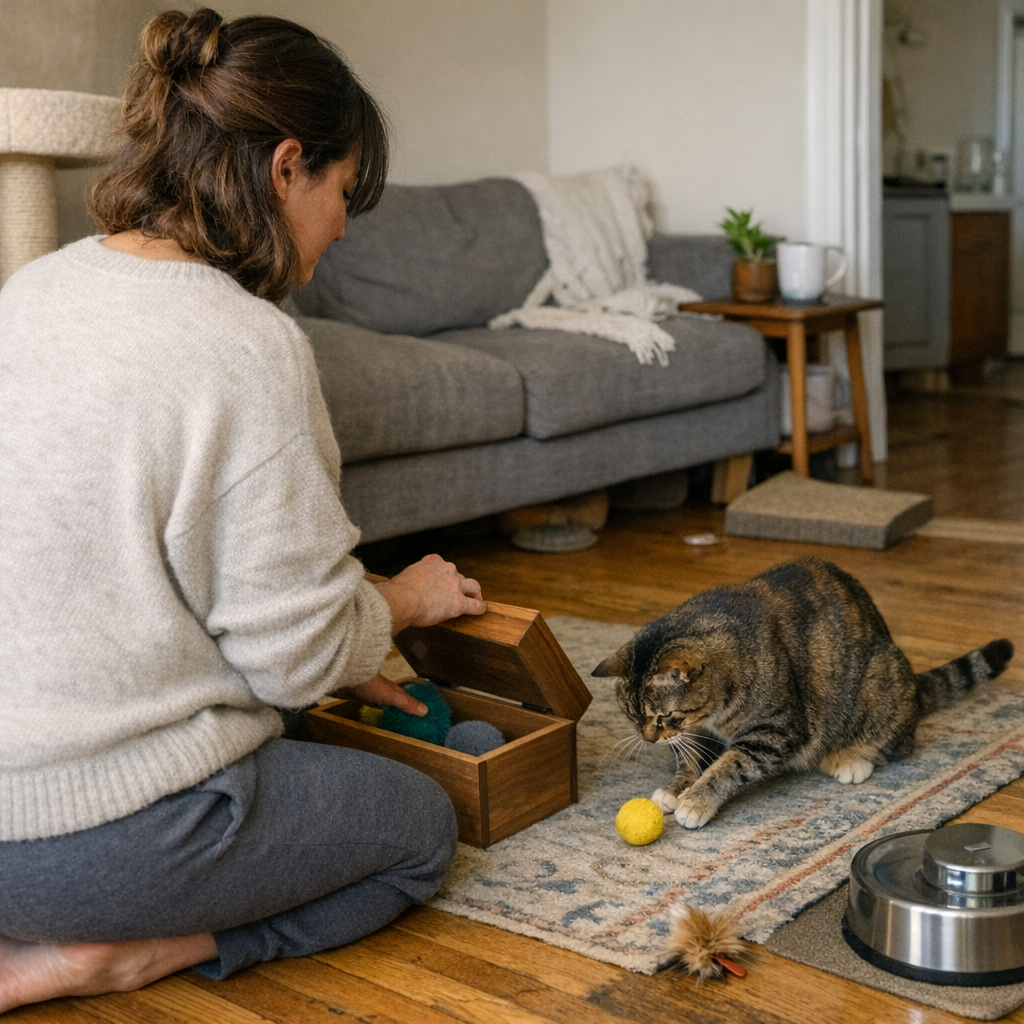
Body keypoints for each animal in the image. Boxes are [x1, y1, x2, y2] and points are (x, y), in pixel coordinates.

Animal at [592, 556, 1014, 830]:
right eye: (632, 717)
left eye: (664, 717)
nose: (649, 739)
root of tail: (911, 677)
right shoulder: (696, 731)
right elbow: (690, 759)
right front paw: (677, 788)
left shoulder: (777, 729)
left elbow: (729, 765)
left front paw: (696, 801)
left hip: (880, 680)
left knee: (898, 743)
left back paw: (850, 759)